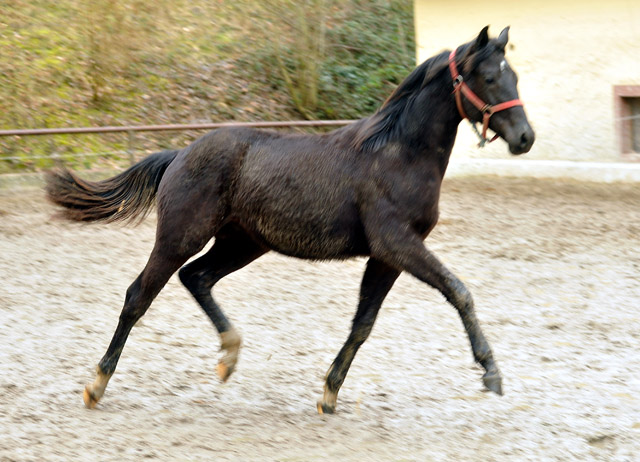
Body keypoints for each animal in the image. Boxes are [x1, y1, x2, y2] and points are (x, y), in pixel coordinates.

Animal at [46, 27, 536, 414]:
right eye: (489, 77)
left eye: (514, 75)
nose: (525, 138)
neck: (397, 154)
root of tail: (180, 153)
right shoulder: (397, 243)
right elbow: (459, 291)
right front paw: (491, 373)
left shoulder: (386, 257)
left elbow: (363, 324)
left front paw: (329, 394)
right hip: (180, 236)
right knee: (139, 296)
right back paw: (96, 385)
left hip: (242, 243)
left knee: (197, 277)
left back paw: (229, 356)